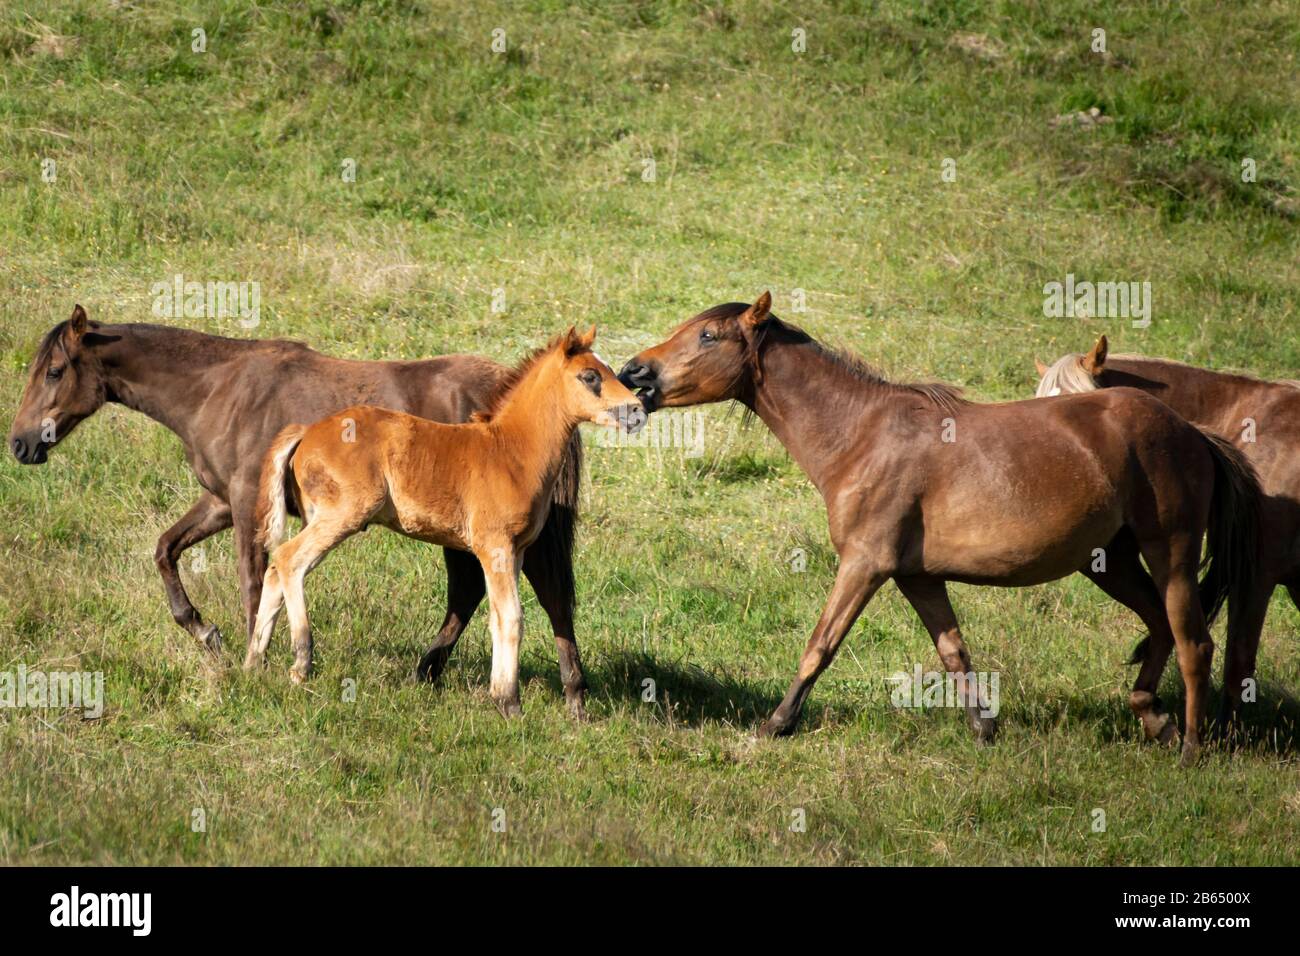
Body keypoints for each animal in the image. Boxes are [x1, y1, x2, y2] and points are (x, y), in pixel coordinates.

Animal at [8, 306, 590, 717]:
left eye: (54, 371)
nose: (19, 444)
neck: (216, 390)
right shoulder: (220, 502)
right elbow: (165, 550)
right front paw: (206, 633)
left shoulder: (247, 504)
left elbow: (252, 578)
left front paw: (254, 657)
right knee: (483, 595)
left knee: (539, 596)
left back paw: (562, 695)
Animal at [244, 329, 644, 717]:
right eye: (590, 376)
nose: (637, 411)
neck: (511, 452)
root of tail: (306, 431)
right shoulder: (494, 546)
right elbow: (512, 618)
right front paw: (510, 704)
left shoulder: (514, 551)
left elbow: (497, 618)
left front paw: (500, 696)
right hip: (343, 515)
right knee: (289, 560)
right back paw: (301, 661)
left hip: (320, 517)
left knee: (276, 568)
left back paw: (254, 662)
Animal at [618, 291, 1258, 764]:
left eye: (707, 336)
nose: (634, 371)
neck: (861, 436)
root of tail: (1192, 433)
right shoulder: (917, 578)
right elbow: (954, 652)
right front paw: (984, 731)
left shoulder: (865, 564)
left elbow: (819, 646)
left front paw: (775, 724)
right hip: (1110, 560)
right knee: (1160, 628)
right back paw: (1153, 717)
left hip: (1168, 551)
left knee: (1194, 642)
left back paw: (1191, 749)